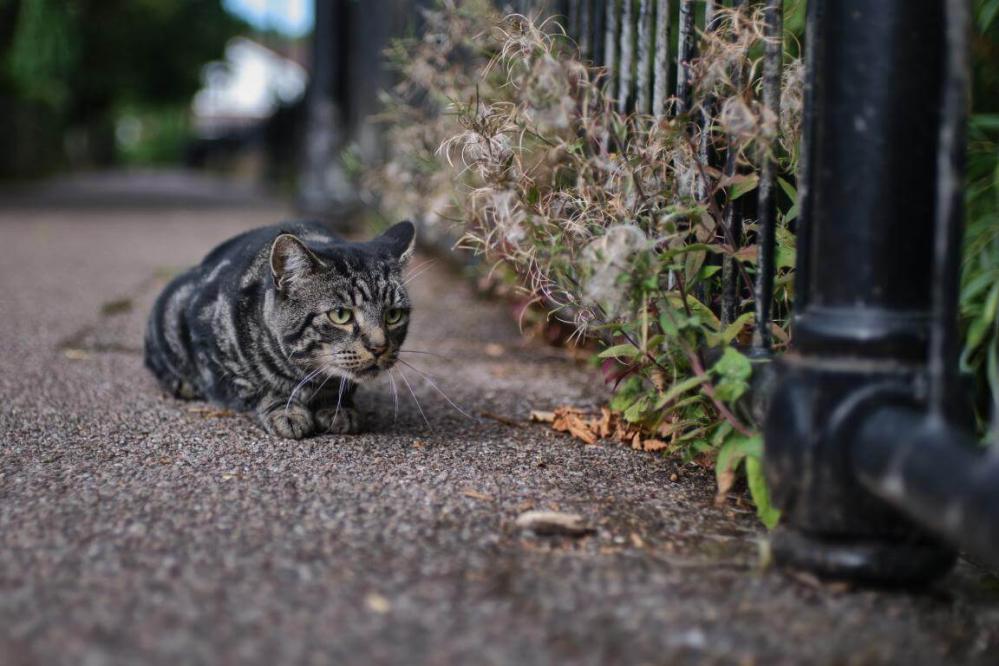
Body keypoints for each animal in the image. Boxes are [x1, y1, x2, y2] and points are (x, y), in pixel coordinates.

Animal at [145, 219, 414, 436]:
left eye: (393, 315)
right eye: (341, 315)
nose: (379, 347)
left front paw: (339, 407)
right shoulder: (215, 351)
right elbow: (258, 386)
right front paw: (286, 410)